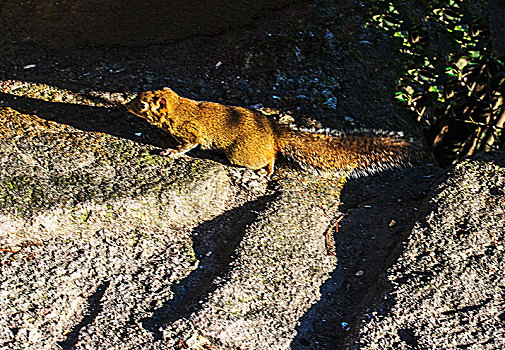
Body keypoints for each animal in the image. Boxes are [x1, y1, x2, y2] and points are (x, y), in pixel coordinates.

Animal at [124, 87, 416, 179]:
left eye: (142, 105)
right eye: (140, 95)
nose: (125, 105)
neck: (179, 107)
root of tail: (273, 132)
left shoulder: (191, 133)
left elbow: (187, 145)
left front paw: (170, 151)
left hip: (241, 154)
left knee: (270, 157)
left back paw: (266, 170)